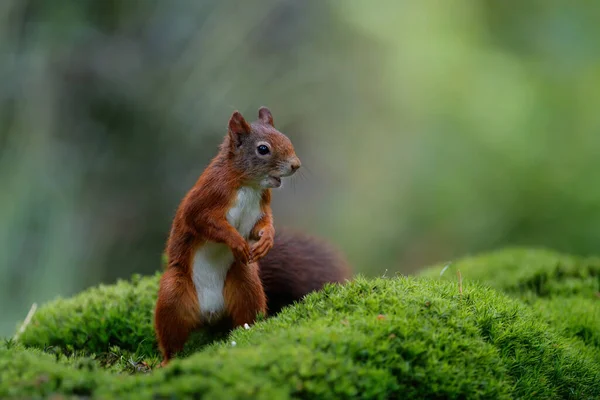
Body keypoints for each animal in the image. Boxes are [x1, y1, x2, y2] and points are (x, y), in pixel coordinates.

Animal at [156, 107, 304, 366]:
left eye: (285, 137)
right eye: (263, 149)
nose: (296, 165)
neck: (248, 185)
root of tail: (209, 313)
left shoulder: (261, 207)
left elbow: (264, 224)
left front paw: (266, 240)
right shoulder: (205, 199)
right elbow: (207, 223)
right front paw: (236, 242)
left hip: (245, 282)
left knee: (245, 315)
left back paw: (249, 330)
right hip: (173, 295)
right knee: (171, 337)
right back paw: (167, 361)